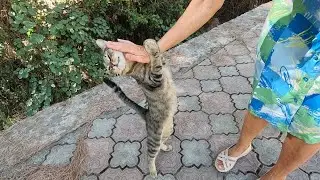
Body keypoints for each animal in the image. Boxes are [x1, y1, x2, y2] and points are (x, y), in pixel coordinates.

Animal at [97, 38, 178, 177]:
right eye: (109, 68)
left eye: (108, 56)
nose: (112, 65)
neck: (133, 65)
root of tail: (146, 113)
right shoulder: (154, 80)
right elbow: (156, 62)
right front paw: (149, 45)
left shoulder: (162, 63)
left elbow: (160, 57)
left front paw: (149, 44)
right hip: (154, 138)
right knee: (150, 155)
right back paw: (152, 171)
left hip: (168, 130)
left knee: (161, 144)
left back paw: (166, 147)